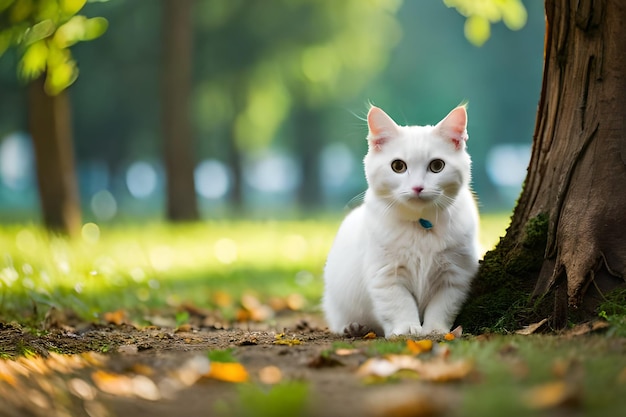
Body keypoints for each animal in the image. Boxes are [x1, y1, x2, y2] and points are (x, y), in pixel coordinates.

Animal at [322, 105, 478, 338]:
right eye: (398, 166)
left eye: (437, 166)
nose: (417, 187)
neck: (421, 225)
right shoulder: (386, 275)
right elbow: (400, 304)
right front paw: (406, 329)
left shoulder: (455, 276)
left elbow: (442, 307)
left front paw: (435, 330)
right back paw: (354, 327)